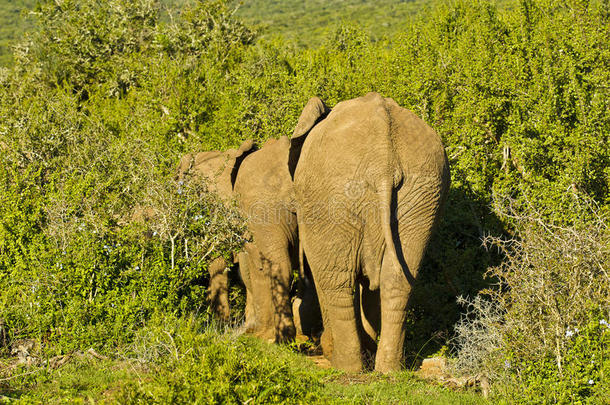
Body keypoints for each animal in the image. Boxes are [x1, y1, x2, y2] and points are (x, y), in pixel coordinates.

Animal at [288, 92, 448, 372]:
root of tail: (383, 163)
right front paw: (369, 350)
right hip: (423, 191)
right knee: (397, 280)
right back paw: (388, 369)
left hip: (333, 197)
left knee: (336, 280)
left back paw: (345, 365)